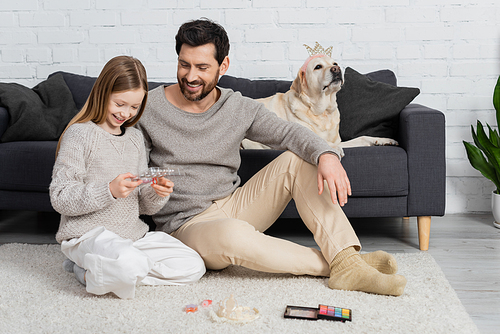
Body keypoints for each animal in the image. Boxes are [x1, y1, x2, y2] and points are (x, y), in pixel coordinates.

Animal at [242, 55, 398, 149]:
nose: (337, 69)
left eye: (335, 63)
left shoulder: (338, 141)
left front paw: (383, 140)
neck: (323, 112)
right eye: (318, 67)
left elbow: (362, 138)